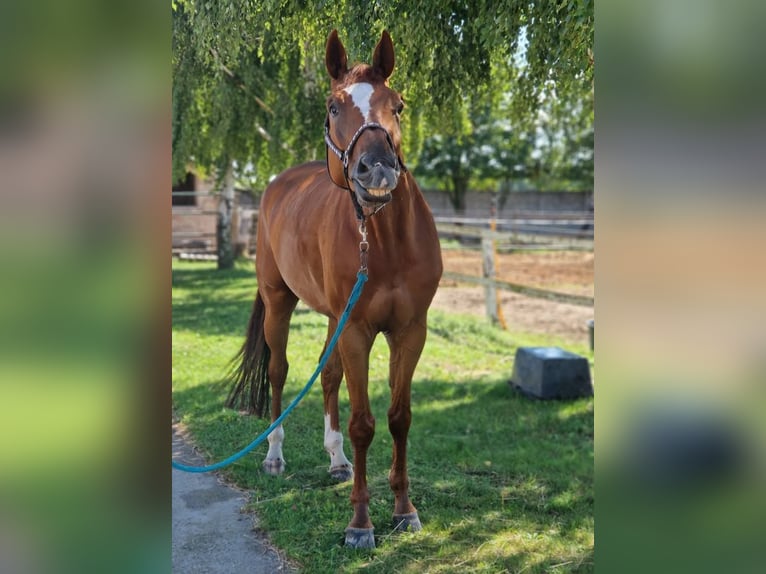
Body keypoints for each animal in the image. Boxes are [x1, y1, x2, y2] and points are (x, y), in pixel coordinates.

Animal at [226, 29, 442, 549]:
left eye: (398, 105)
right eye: (332, 106)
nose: (377, 170)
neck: (386, 243)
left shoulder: (410, 331)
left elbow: (399, 418)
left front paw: (404, 510)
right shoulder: (359, 331)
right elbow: (363, 423)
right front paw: (360, 524)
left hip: (332, 318)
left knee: (327, 378)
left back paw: (338, 461)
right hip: (280, 303)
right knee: (280, 373)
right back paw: (274, 456)